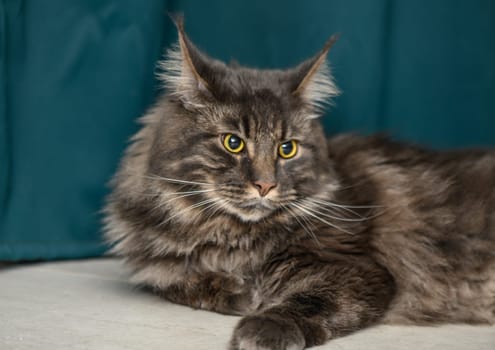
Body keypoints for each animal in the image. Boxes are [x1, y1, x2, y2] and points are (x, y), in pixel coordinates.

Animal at [104, 17, 495, 350]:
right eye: (233, 143)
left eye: (286, 148)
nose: (264, 186)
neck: (230, 236)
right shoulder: (158, 268)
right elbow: (177, 281)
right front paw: (236, 292)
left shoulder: (356, 267)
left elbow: (309, 300)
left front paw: (263, 326)